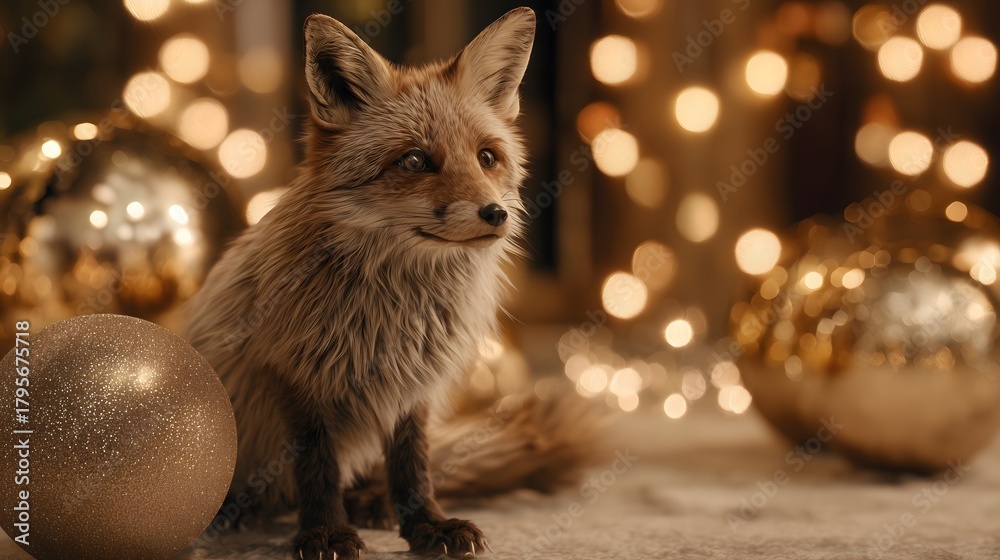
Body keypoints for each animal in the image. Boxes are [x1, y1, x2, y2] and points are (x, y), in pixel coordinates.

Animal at [183, 7, 542, 559]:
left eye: (487, 157)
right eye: (414, 161)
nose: (495, 214)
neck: (394, 308)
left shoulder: (414, 385)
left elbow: (414, 466)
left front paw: (425, 526)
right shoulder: (296, 375)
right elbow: (318, 468)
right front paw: (327, 533)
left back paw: (372, 502)